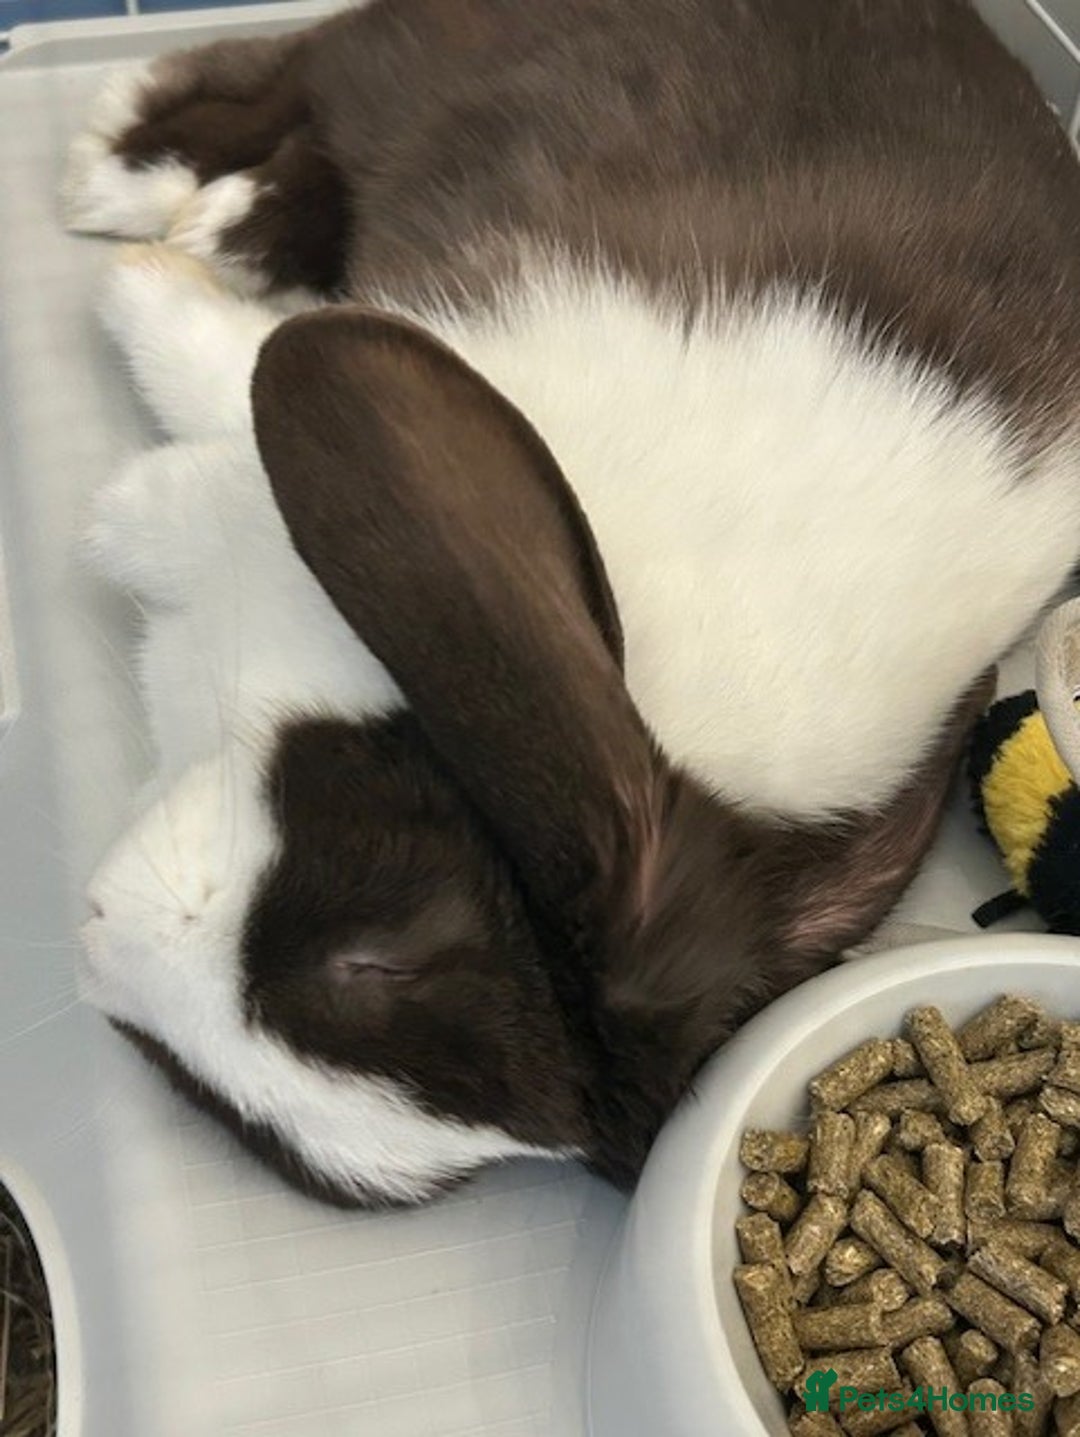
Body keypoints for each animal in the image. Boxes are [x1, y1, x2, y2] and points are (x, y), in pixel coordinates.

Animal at [68, 0, 1080, 1206]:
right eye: (382, 953)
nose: (95, 945)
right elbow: (213, 375)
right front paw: (134, 303)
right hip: (440, 59)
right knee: (290, 69)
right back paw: (137, 185)